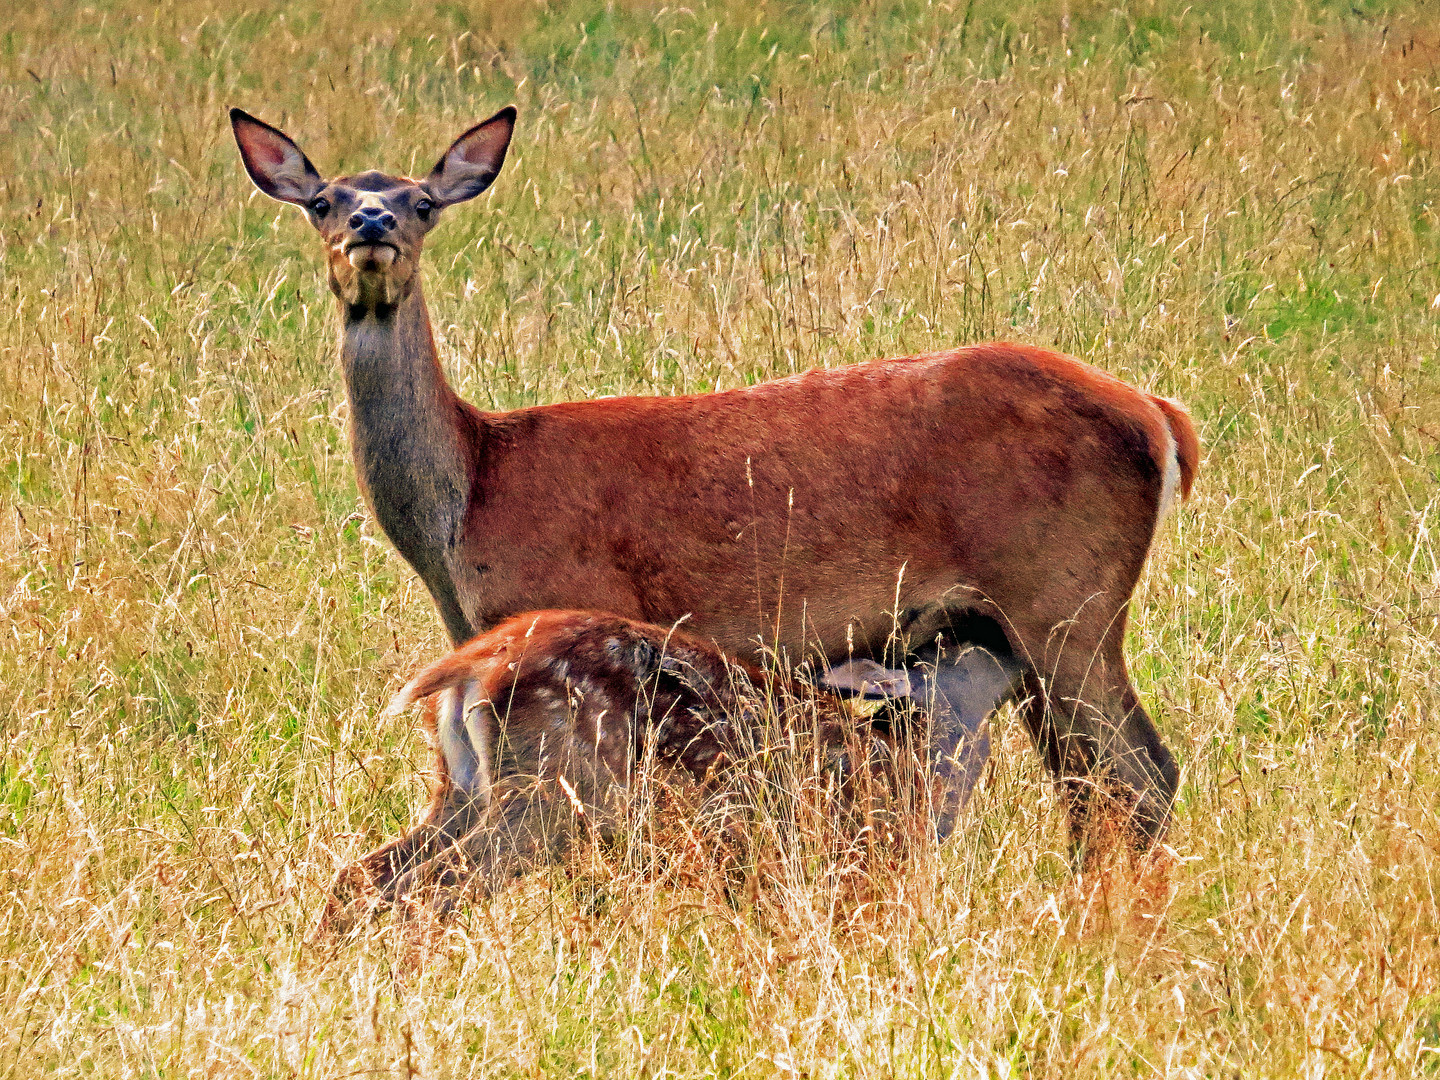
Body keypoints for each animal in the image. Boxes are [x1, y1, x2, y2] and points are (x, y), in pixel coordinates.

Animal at [233, 105, 1203, 852]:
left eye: (423, 202)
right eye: (322, 200)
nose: (370, 227)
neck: (470, 494)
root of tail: (1159, 415)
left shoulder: (575, 600)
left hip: (1065, 598)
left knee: (1139, 776)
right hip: (1018, 627)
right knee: (1097, 783)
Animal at [316, 610, 1019, 933]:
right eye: (964, 652)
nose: (1006, 637)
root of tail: (478, 661)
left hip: (461, 788)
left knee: (364, 874)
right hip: (547, 798)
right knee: (430, 887)